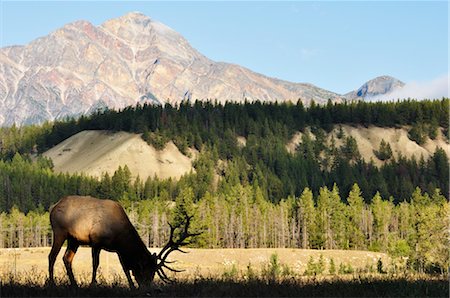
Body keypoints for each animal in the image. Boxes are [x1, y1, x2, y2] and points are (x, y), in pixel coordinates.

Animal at [48, 196, 199, 288]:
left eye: (153, 273)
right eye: (147, 270)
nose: (146, 288)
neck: (119, 235)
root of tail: (53, 208)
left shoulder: (118, 249)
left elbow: (125, 268)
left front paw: (131, 286)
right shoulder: (96, 241)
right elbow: (95, 264)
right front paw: (93, 284)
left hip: (74, 239)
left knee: (66, 258)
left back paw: (74, 284)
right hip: (60, 231)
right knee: (52, 256)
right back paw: (52, 283)